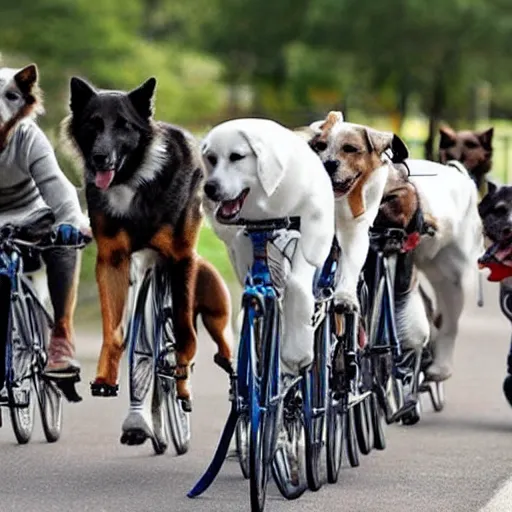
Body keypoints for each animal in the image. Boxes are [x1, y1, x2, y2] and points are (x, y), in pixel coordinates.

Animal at [200, 119, 336, 376]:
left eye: (236, 157)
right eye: (211, 158)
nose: (209, 188)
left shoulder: (310, 227)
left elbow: (298, 281)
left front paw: (296, 353)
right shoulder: (241, 243)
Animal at [308, 113, 484, 384]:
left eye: (350, 149)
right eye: (319, 146)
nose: (328, 164)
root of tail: (464, 179)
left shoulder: (397, 200)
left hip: (455, 279)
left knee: (449, 324)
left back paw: (440, 367)